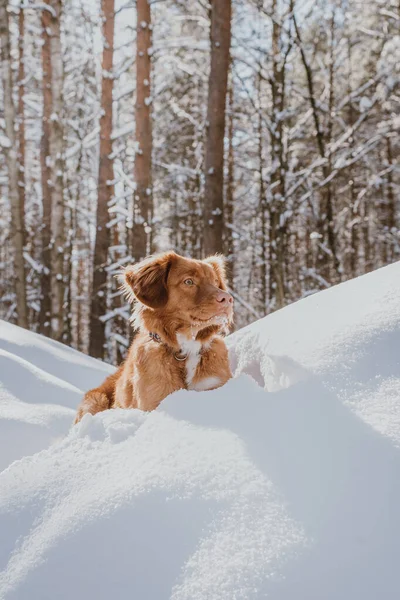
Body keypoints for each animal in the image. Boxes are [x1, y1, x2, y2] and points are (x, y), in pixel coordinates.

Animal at [74, 248, 234, 422]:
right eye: (189, 281)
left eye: (216, 282)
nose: (227, 298)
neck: (185, 351)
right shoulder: (154, 402)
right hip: (95, 400)